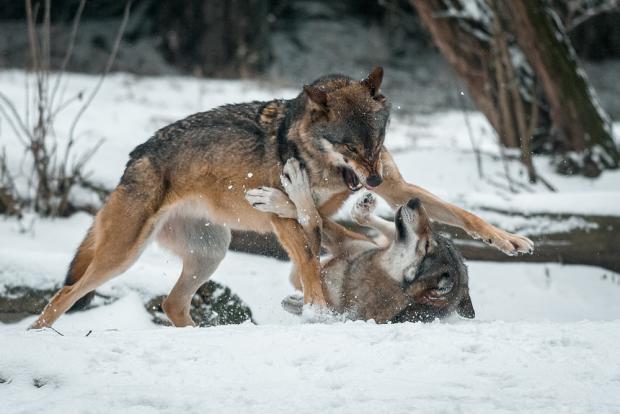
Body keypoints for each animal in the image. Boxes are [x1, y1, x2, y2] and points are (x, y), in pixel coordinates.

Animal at [247, 159, 474, 324]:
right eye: (435, 237)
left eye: (427, 246)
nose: (415, 201)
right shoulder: (347, 244)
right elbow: (318, 218)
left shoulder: (322, 304)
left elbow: (312, 220)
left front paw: (282, 193)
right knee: (384, 228)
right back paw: (363, 209)